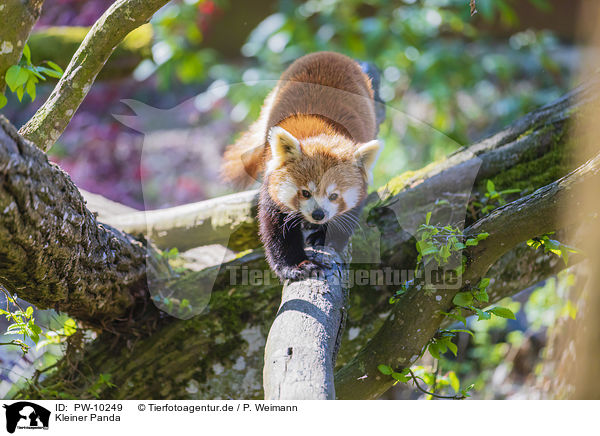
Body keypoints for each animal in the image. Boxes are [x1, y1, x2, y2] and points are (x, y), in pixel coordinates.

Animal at [223, 52, 382, 282]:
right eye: (305, 192)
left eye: (334, 196)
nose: (318, 215)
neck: (323, 131)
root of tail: (330, 54)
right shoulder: (272, 184)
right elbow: (276, 229)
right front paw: (296, 266)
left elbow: (348, 215)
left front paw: (324, 236)